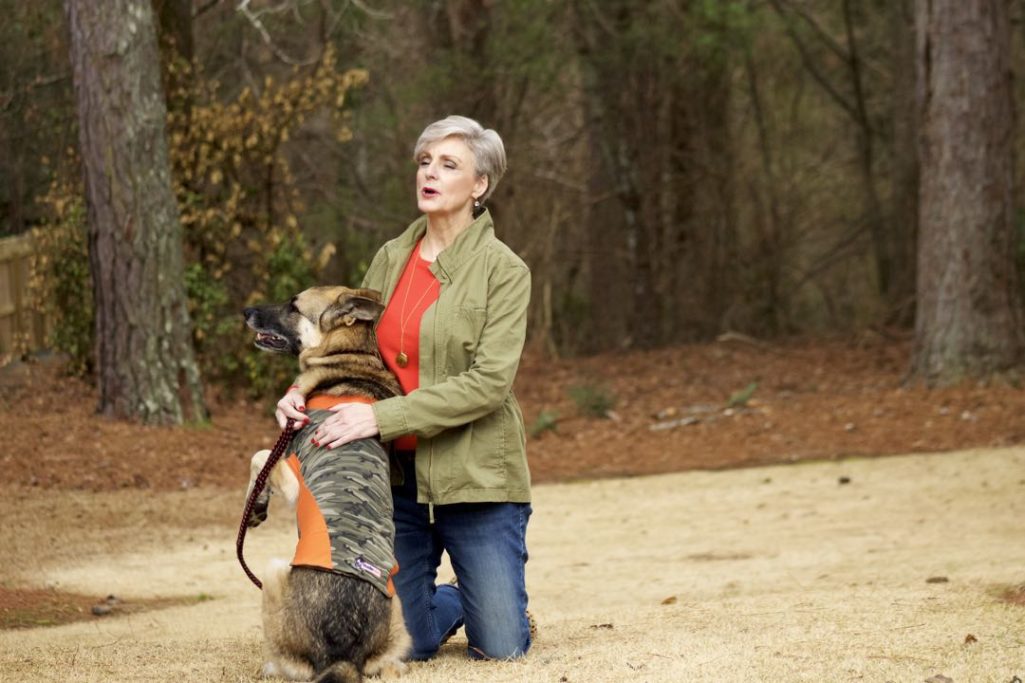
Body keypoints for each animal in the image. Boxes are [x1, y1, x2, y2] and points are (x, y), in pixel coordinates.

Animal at [241, 285, 410, 680]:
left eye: (293, 306)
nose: (245, 312)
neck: (347, 355)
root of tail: (341, 653)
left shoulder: (291, 476)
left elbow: (259, 457)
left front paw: (255, 507)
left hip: (273, 572)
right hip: (399, 612)